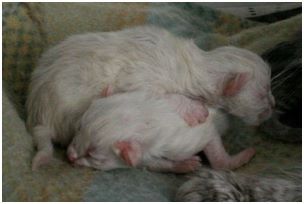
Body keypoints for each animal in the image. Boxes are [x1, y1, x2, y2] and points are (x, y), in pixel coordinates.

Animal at [67, 91, 255, 173]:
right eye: (78, 128)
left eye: (92, 156)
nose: (69, 157)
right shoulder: (146, 155)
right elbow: (156, 164)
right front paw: (186, 165)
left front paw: (198, 110)